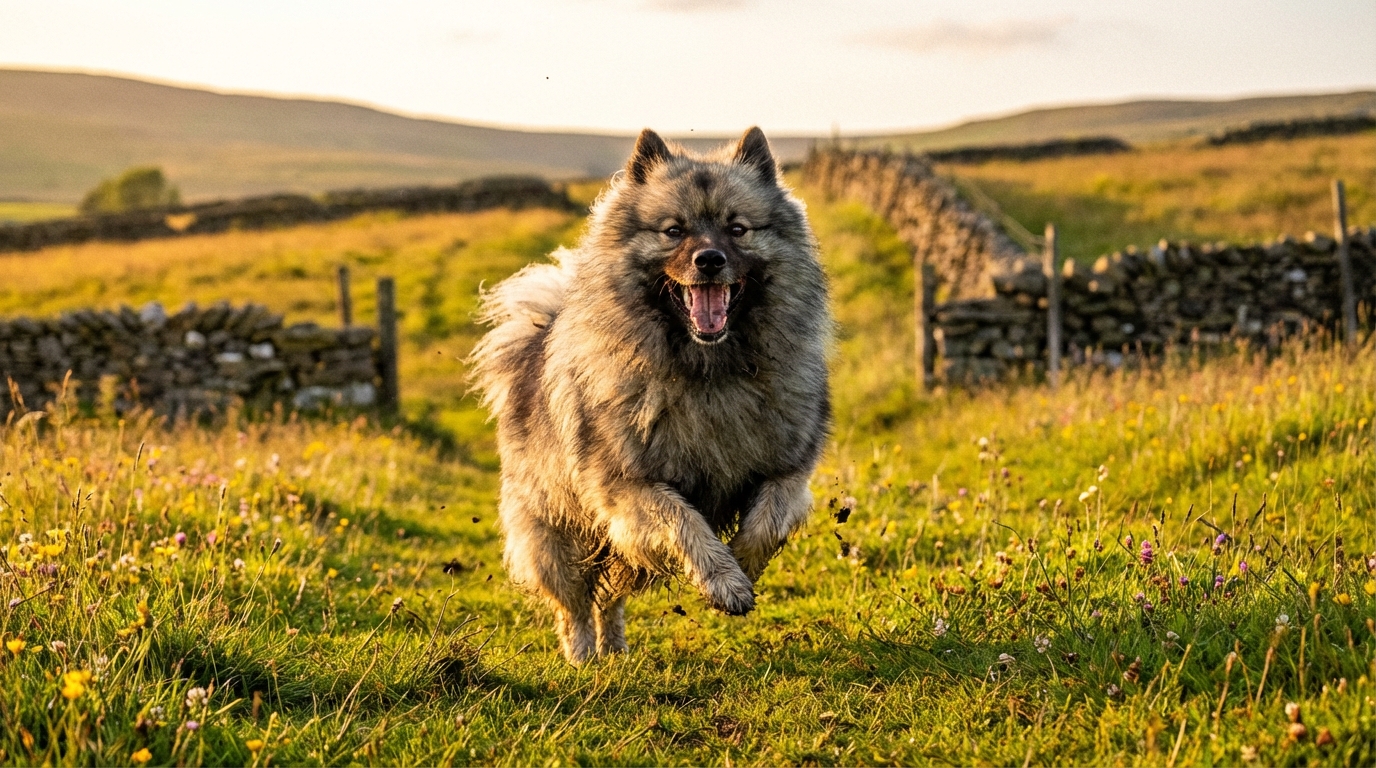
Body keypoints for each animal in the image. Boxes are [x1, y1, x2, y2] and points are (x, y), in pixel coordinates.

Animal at [469, 127, 830, 663]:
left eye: (737, 229)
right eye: (674, 231)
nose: (710, 260)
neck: (709, 375)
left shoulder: (787, 471)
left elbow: (767, 523)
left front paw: (743, 567)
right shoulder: (631, 487)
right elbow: (684, 521)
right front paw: (725, 581)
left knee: (610, 597)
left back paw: (615, 649)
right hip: (558, 533)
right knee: (575, 604)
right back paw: (583, 657)